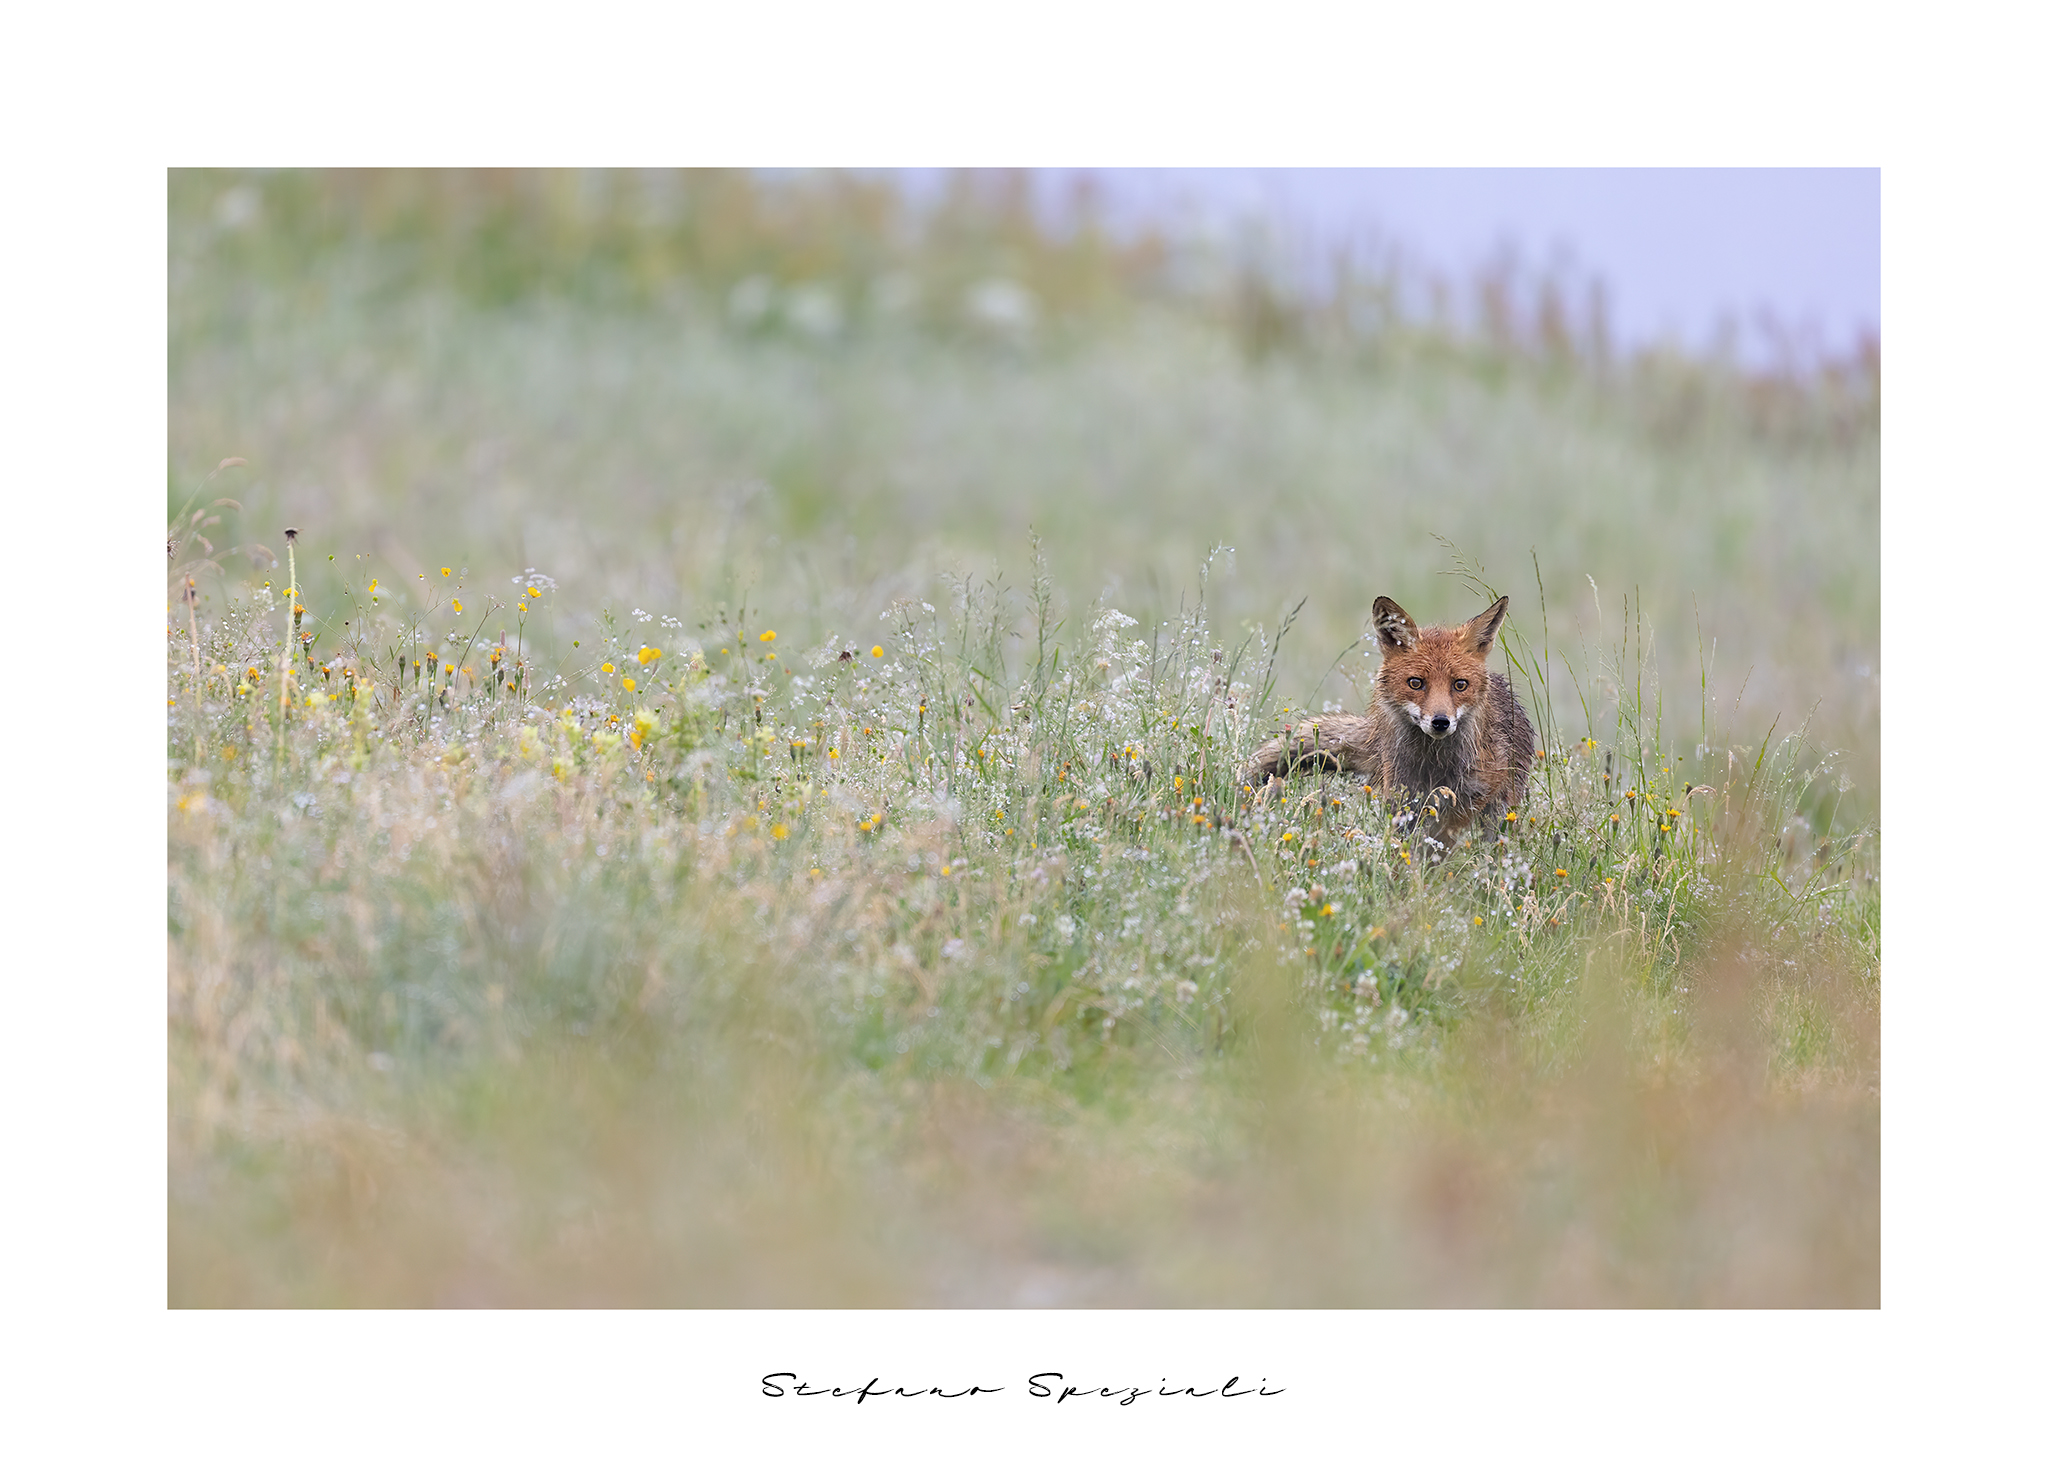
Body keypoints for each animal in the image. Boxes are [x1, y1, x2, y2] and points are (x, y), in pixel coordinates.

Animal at [1244, 594, 1535, 850]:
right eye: (1415, 683)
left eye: (1460, 685)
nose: (1441, 722)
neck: (1434, 764)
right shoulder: (1404, 801)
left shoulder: (1469, 800)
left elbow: (1443, 843)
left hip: (1501, 813)